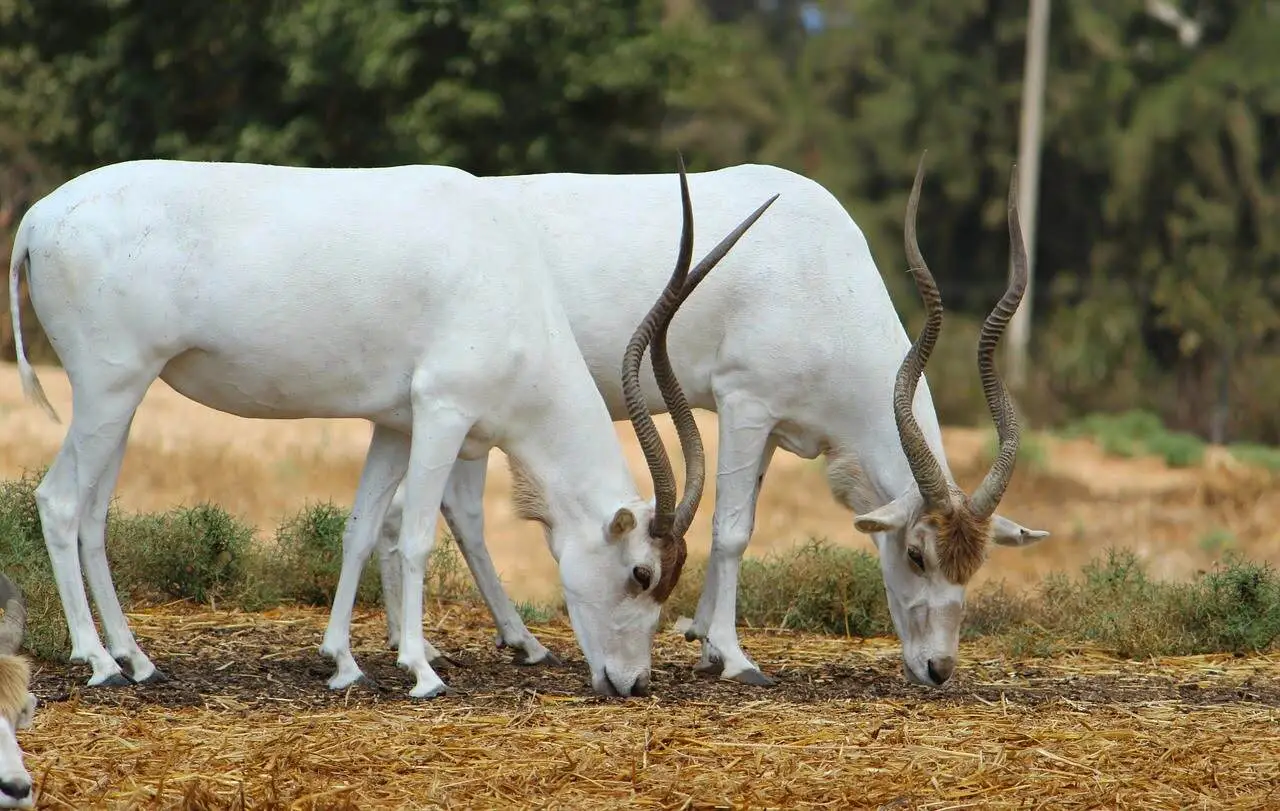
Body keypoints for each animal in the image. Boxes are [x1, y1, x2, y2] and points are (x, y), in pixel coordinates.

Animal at [10, 156, 773, 695]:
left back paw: (135, 658)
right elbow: (415, 536)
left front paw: (343, 662)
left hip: (123, 395)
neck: (500, 274)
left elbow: (358, 528)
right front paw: (421, 670)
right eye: (641, 572)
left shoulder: (394, 424)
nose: (632, 682)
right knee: (61, 500)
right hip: (109, 388)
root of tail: (38, 219)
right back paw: (98, 662)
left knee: (95, 510)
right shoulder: (442, 410)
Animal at [371, 154, 1049, 685]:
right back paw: (485, 645)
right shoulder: (743, 402)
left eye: (974, 565)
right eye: (915, 554)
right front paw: (733, 657)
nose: (938, 669)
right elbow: (733, 530)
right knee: (444, 510)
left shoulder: (773, 424)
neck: (817, 270)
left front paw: (700, 638)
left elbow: (742, 514)